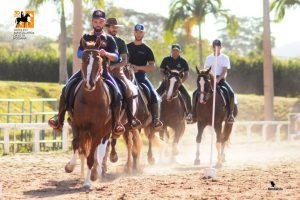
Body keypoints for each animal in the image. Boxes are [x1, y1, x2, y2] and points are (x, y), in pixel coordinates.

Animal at [63, 38, 112, 189]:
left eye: (99, 60)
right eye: (84, 60)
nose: (89, 84)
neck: (91, 100)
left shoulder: (97, 130)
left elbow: (92, 155)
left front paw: (88, 181)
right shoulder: (78, 124)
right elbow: (77, 145)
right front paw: (70, 166)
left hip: (106, 131)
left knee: (99, 151)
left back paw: (95, 173)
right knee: (83, 149)